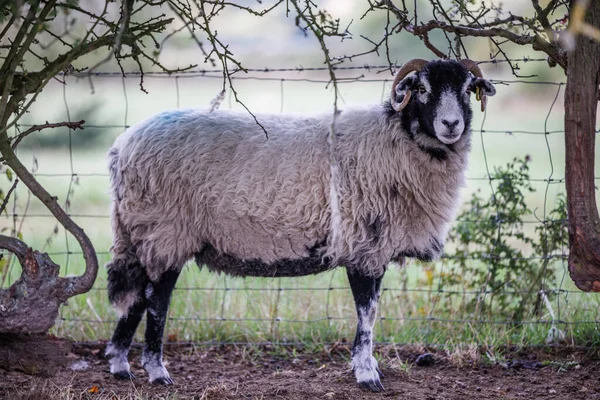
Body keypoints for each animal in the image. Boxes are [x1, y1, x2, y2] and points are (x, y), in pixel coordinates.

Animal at [104, 58, 496, 390]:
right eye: (423, 89)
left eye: (467, 89)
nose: (451, 125)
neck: (397, 139)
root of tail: (122, 147)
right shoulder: (362, 245)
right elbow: (368, 314)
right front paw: (367, 375)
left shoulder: (372, 247)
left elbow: (370, 313)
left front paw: (367, 368)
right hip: (166, 230)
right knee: (156, 300)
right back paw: (156, 372)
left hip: (140, 231)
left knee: (136, 296)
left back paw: (120, 365)